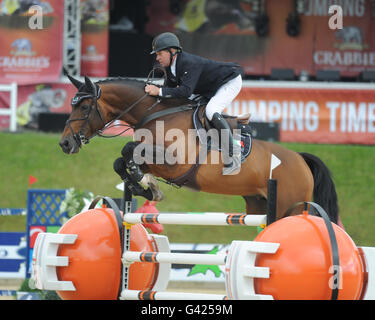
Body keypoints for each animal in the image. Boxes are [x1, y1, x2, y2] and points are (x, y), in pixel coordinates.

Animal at [59, 74, 344, 226]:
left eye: (84, 107)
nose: (65, 144)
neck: (157, 114)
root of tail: (301, 160)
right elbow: (122, 161)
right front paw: (146, 187)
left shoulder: (174, 162)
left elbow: (129, 149)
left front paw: (143, 183)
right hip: (257, 206)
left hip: (288, 207)